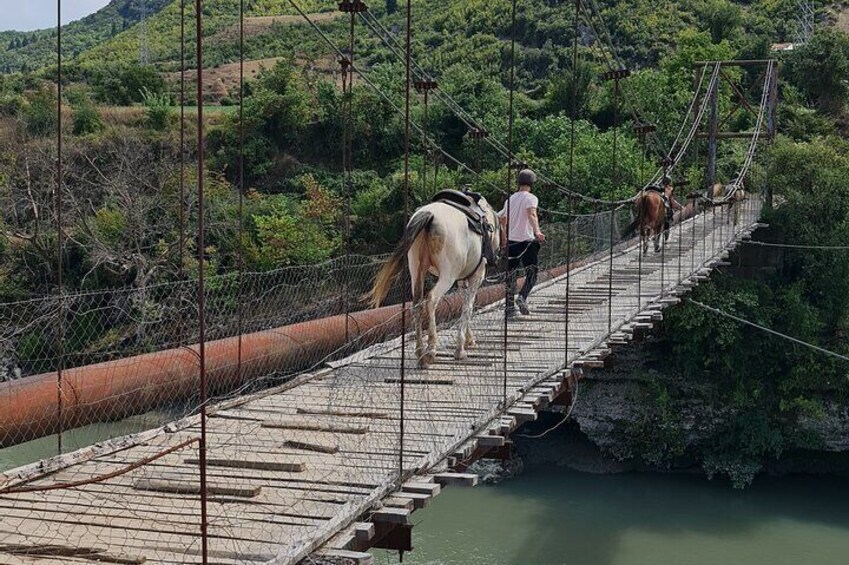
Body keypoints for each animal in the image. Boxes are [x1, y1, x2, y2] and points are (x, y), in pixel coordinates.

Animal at [366, 196, 500, 368]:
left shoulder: (461, 280)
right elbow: (468, 307)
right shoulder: (477, 275)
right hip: (447, 274)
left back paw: (420, 353)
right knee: (431, 299)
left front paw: (468, 340)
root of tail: (430, 215)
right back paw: (430, 350)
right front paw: (460, 349)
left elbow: (465, 303)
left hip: (416, 269)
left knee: (417, 304)